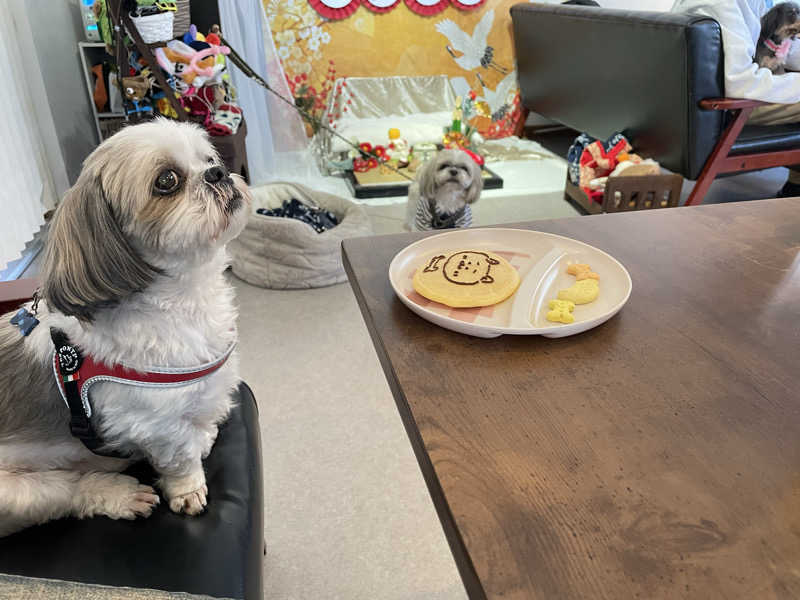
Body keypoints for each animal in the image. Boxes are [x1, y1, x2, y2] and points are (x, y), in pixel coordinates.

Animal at [0, 119, 251, 536]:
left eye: (209, 159)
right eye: (167, 180)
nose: (217, 172)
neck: (185, 296)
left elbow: (203, 414)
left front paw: (206, 432)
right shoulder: (154, 424)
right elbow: (180, 455)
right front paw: (188, 486)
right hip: (15, 493)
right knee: (70, 491)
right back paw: (119, 494)